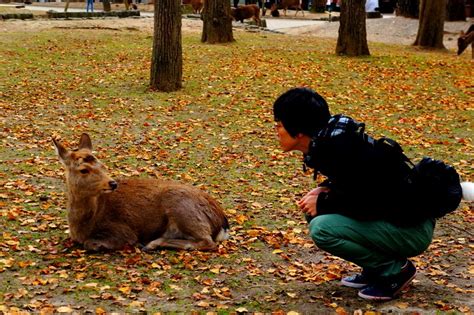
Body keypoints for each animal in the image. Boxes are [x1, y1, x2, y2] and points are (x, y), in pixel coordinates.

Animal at [53, 135, 230, 253]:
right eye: (84, 169)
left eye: (102, 165)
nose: (112, 183)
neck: (83, 225)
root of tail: (222, 220)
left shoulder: (123, 231)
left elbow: (90, 244)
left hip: (183, 208)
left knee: (207, 242)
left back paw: (152, 243)